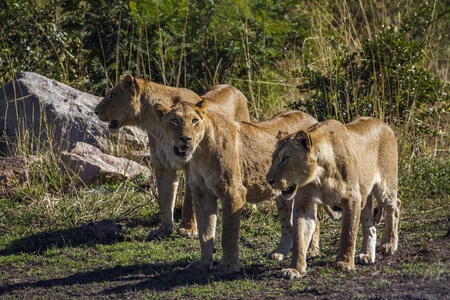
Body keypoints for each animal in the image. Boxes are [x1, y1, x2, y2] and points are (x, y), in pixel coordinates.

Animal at [94, 74, 250, 240]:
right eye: (174, 121)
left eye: (112, 96)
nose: (95, 111)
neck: (156, 126)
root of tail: (233, 87)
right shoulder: (162, 166)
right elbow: (165, 199)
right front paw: (163, 230)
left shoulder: (191, 168)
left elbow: (190, 202)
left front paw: (188, 229)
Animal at [153, 100, 326, 272]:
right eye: (174, 120)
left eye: (194, 121)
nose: (185, 138)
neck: (200, 153)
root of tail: (312, 119)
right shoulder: (202, 194)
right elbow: (205, 232)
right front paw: (203, 263)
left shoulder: (233, 192)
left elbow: (228, 234)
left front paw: (229, 265)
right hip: (283, 194)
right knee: (287, 224)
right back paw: (279, 253)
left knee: (315, 222)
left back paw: (312, 252)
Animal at [266, 116, 400, 278]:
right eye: (273, 158)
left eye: (285, 158)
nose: (269, 180)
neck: (320, 174)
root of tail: (384, 124)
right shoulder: (304, 203)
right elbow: (300, 237)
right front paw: (295, 269)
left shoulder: (352, 198)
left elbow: (348, 233)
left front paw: (344, 263)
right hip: (364, 198)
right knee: (370, 226)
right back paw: (367, 255)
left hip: (384, 188)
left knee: (395, 207)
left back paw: (389, 245)